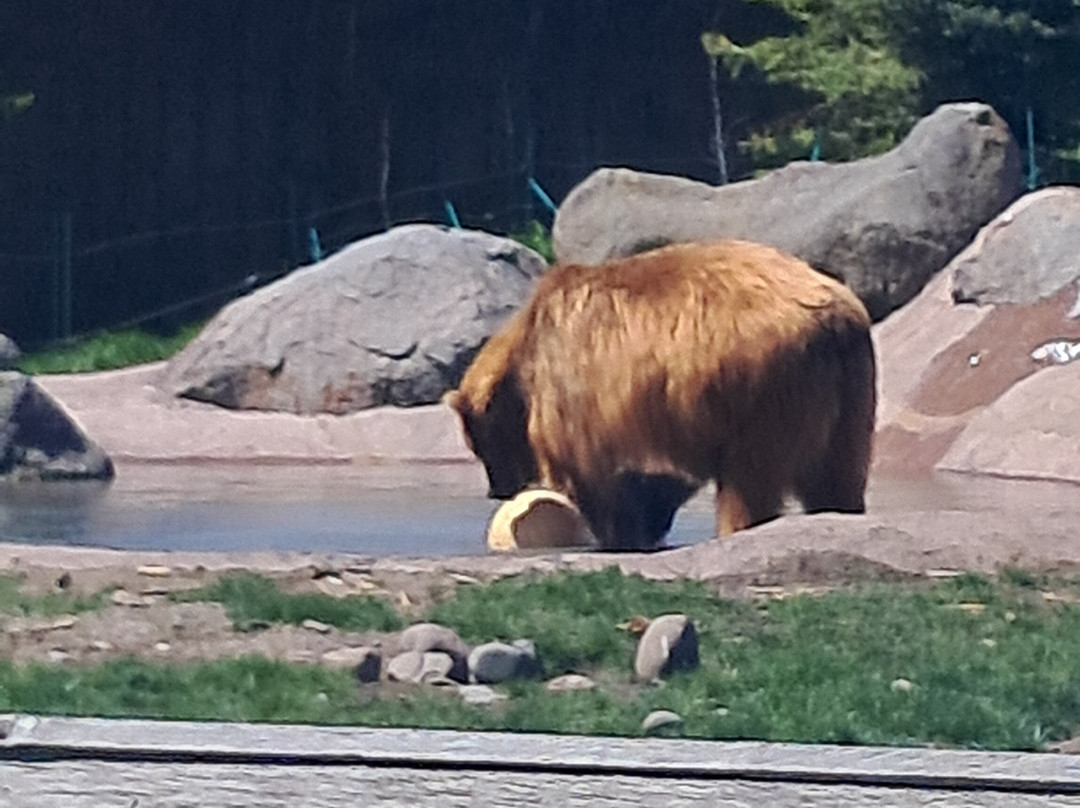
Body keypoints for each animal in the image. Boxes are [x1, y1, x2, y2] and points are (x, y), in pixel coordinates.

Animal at [444, 239, 876, 550]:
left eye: (478, 445)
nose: (497, 489)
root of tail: (834, 319)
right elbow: (660, 474)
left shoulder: (577, 392)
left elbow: (596, 475)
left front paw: (620, 536)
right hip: (850, 393)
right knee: (837, 475)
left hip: (764, 389)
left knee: (749, 480)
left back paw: (736, 529)